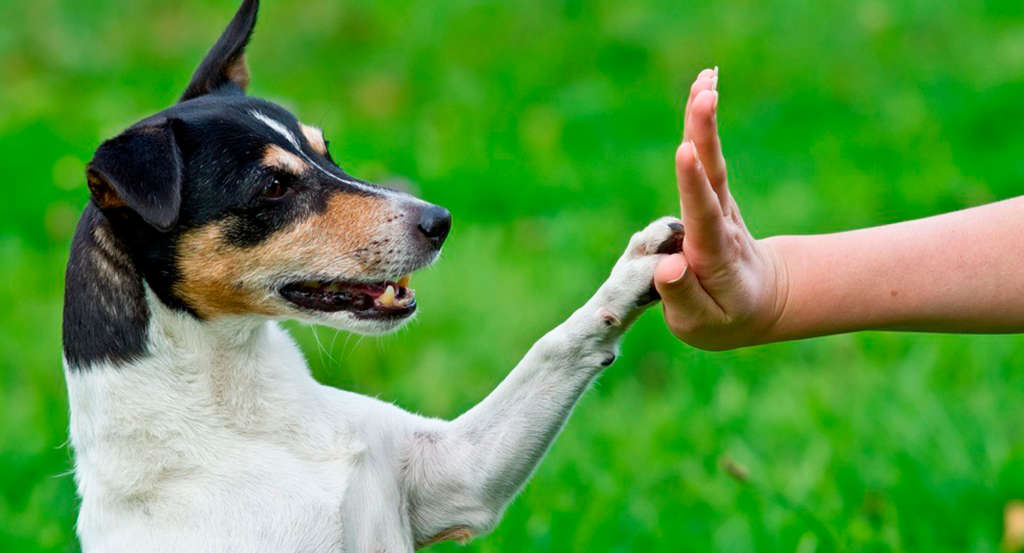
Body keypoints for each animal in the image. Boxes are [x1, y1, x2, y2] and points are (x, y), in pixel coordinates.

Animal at [61, 2, 688, 548]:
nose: (440, 221)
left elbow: (554, 347)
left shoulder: (456, 476)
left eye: (326, 151)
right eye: (273, 186)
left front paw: (638, 269)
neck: (244, 411)